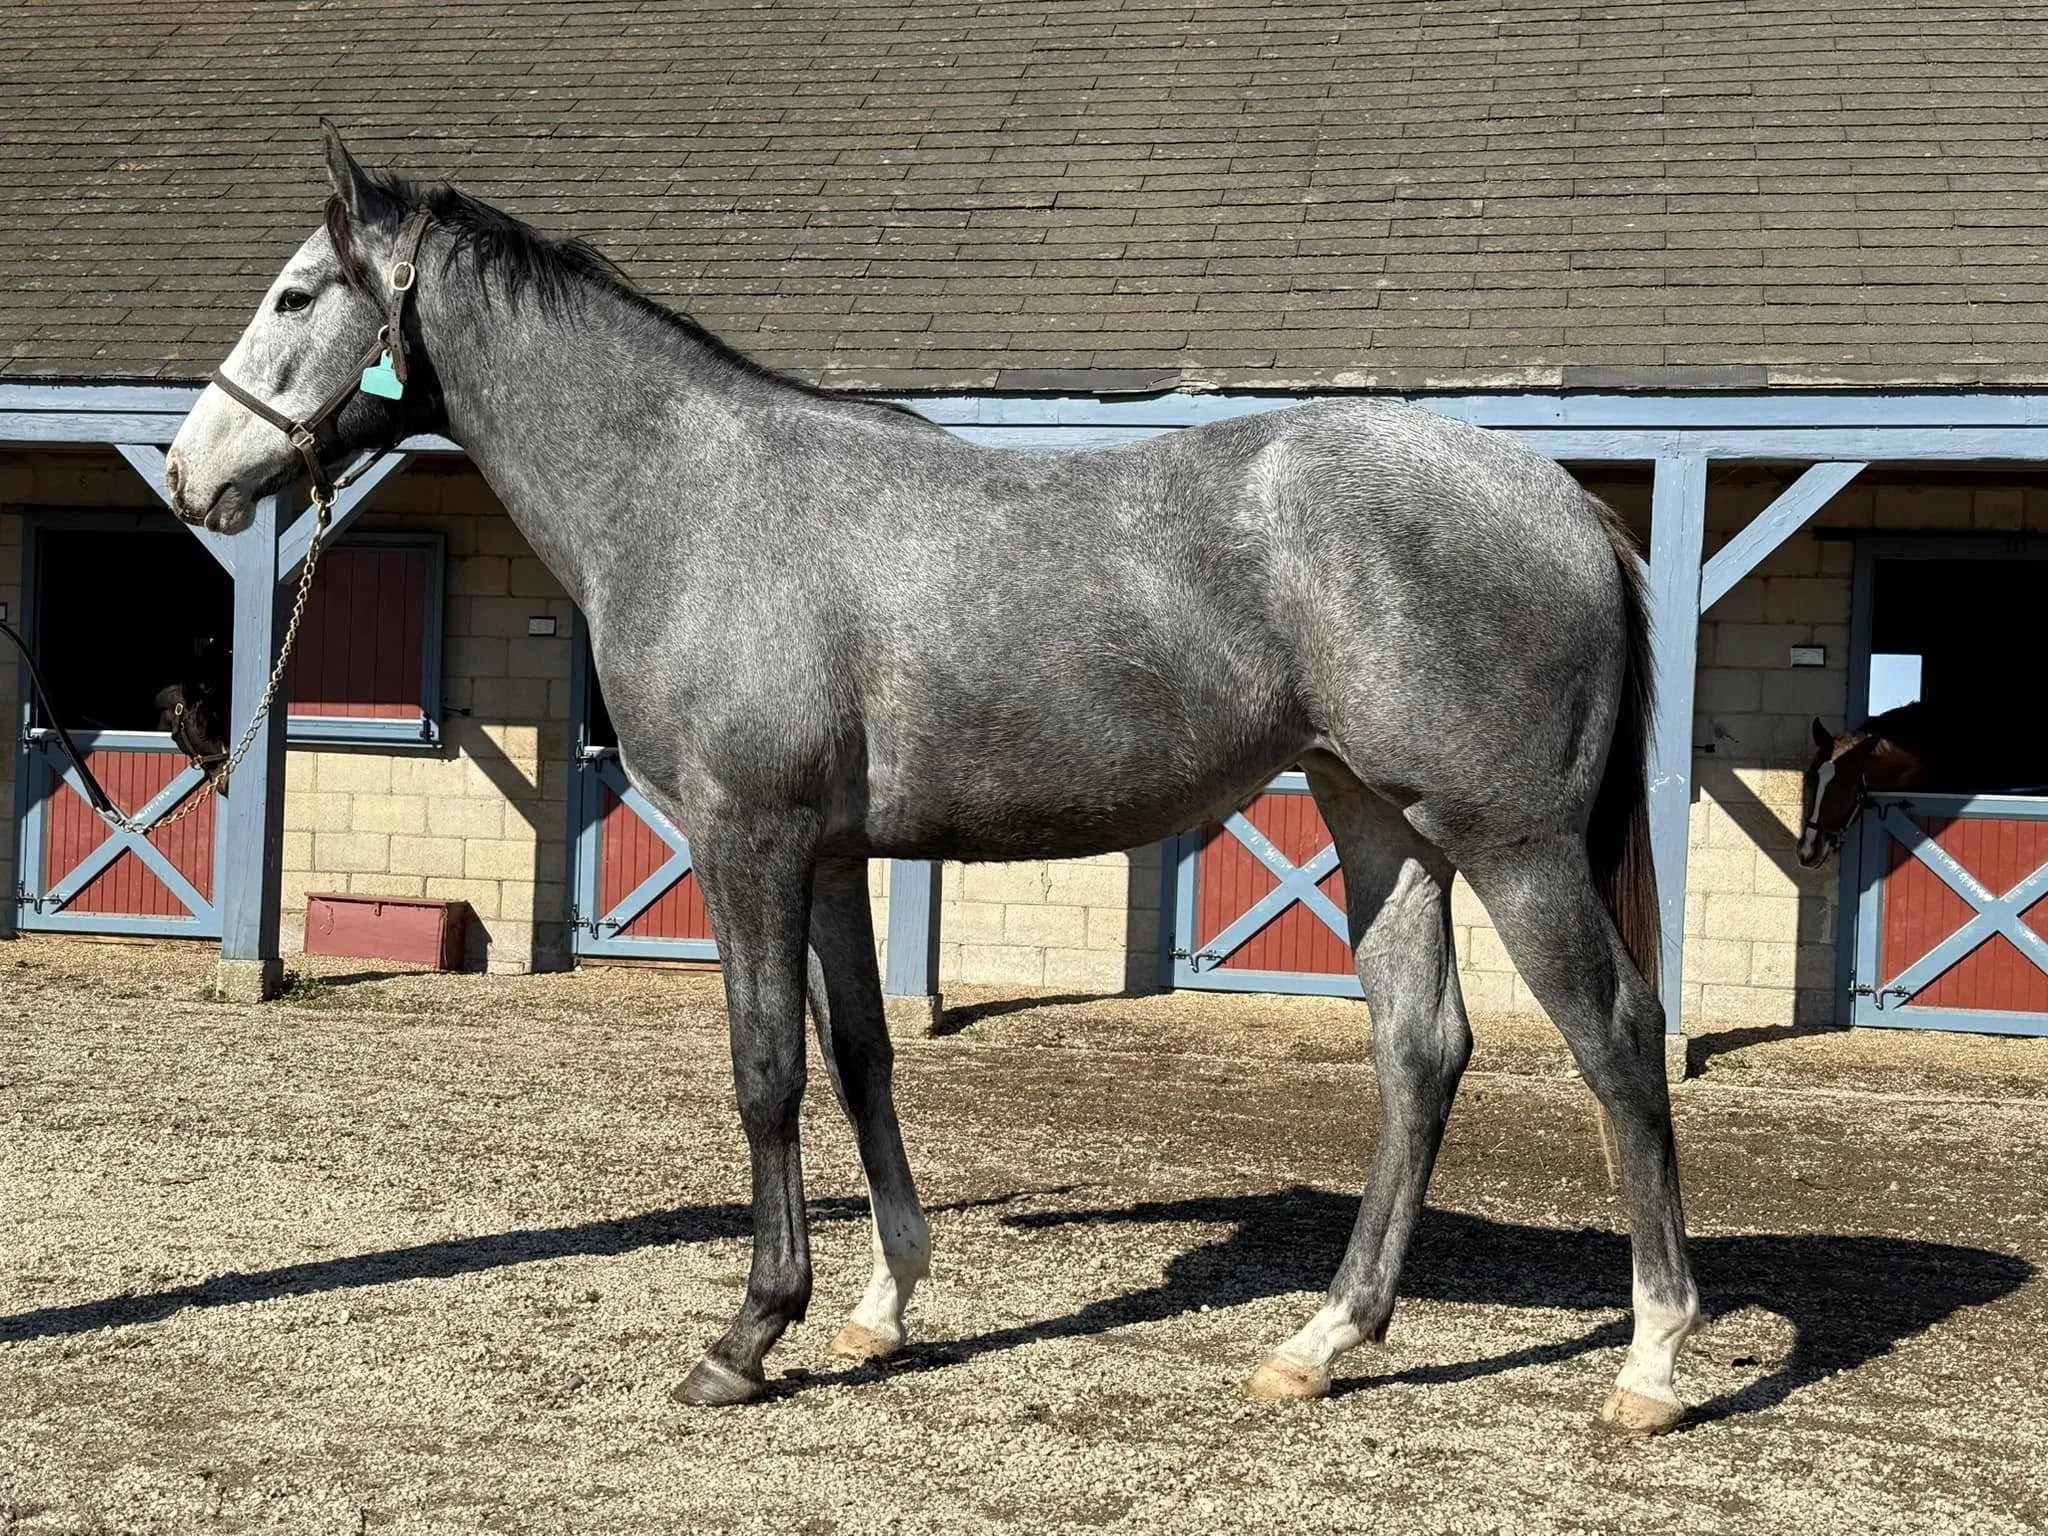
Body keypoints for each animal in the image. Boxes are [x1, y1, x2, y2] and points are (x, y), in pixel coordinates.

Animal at [163, 128, 1700, 1434]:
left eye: (296, 295)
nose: (187, 476)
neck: (690, 498)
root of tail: (1561, 500)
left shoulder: (750, 843)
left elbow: (767, 1072)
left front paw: (747, 1337)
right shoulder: (835, 857)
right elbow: (861, 1059)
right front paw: (882, 1306)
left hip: (1510, 843)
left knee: (1617, 1038)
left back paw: (1650, 1361)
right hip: (1375, 820)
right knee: (1418, 1050)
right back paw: (1322, 1342)